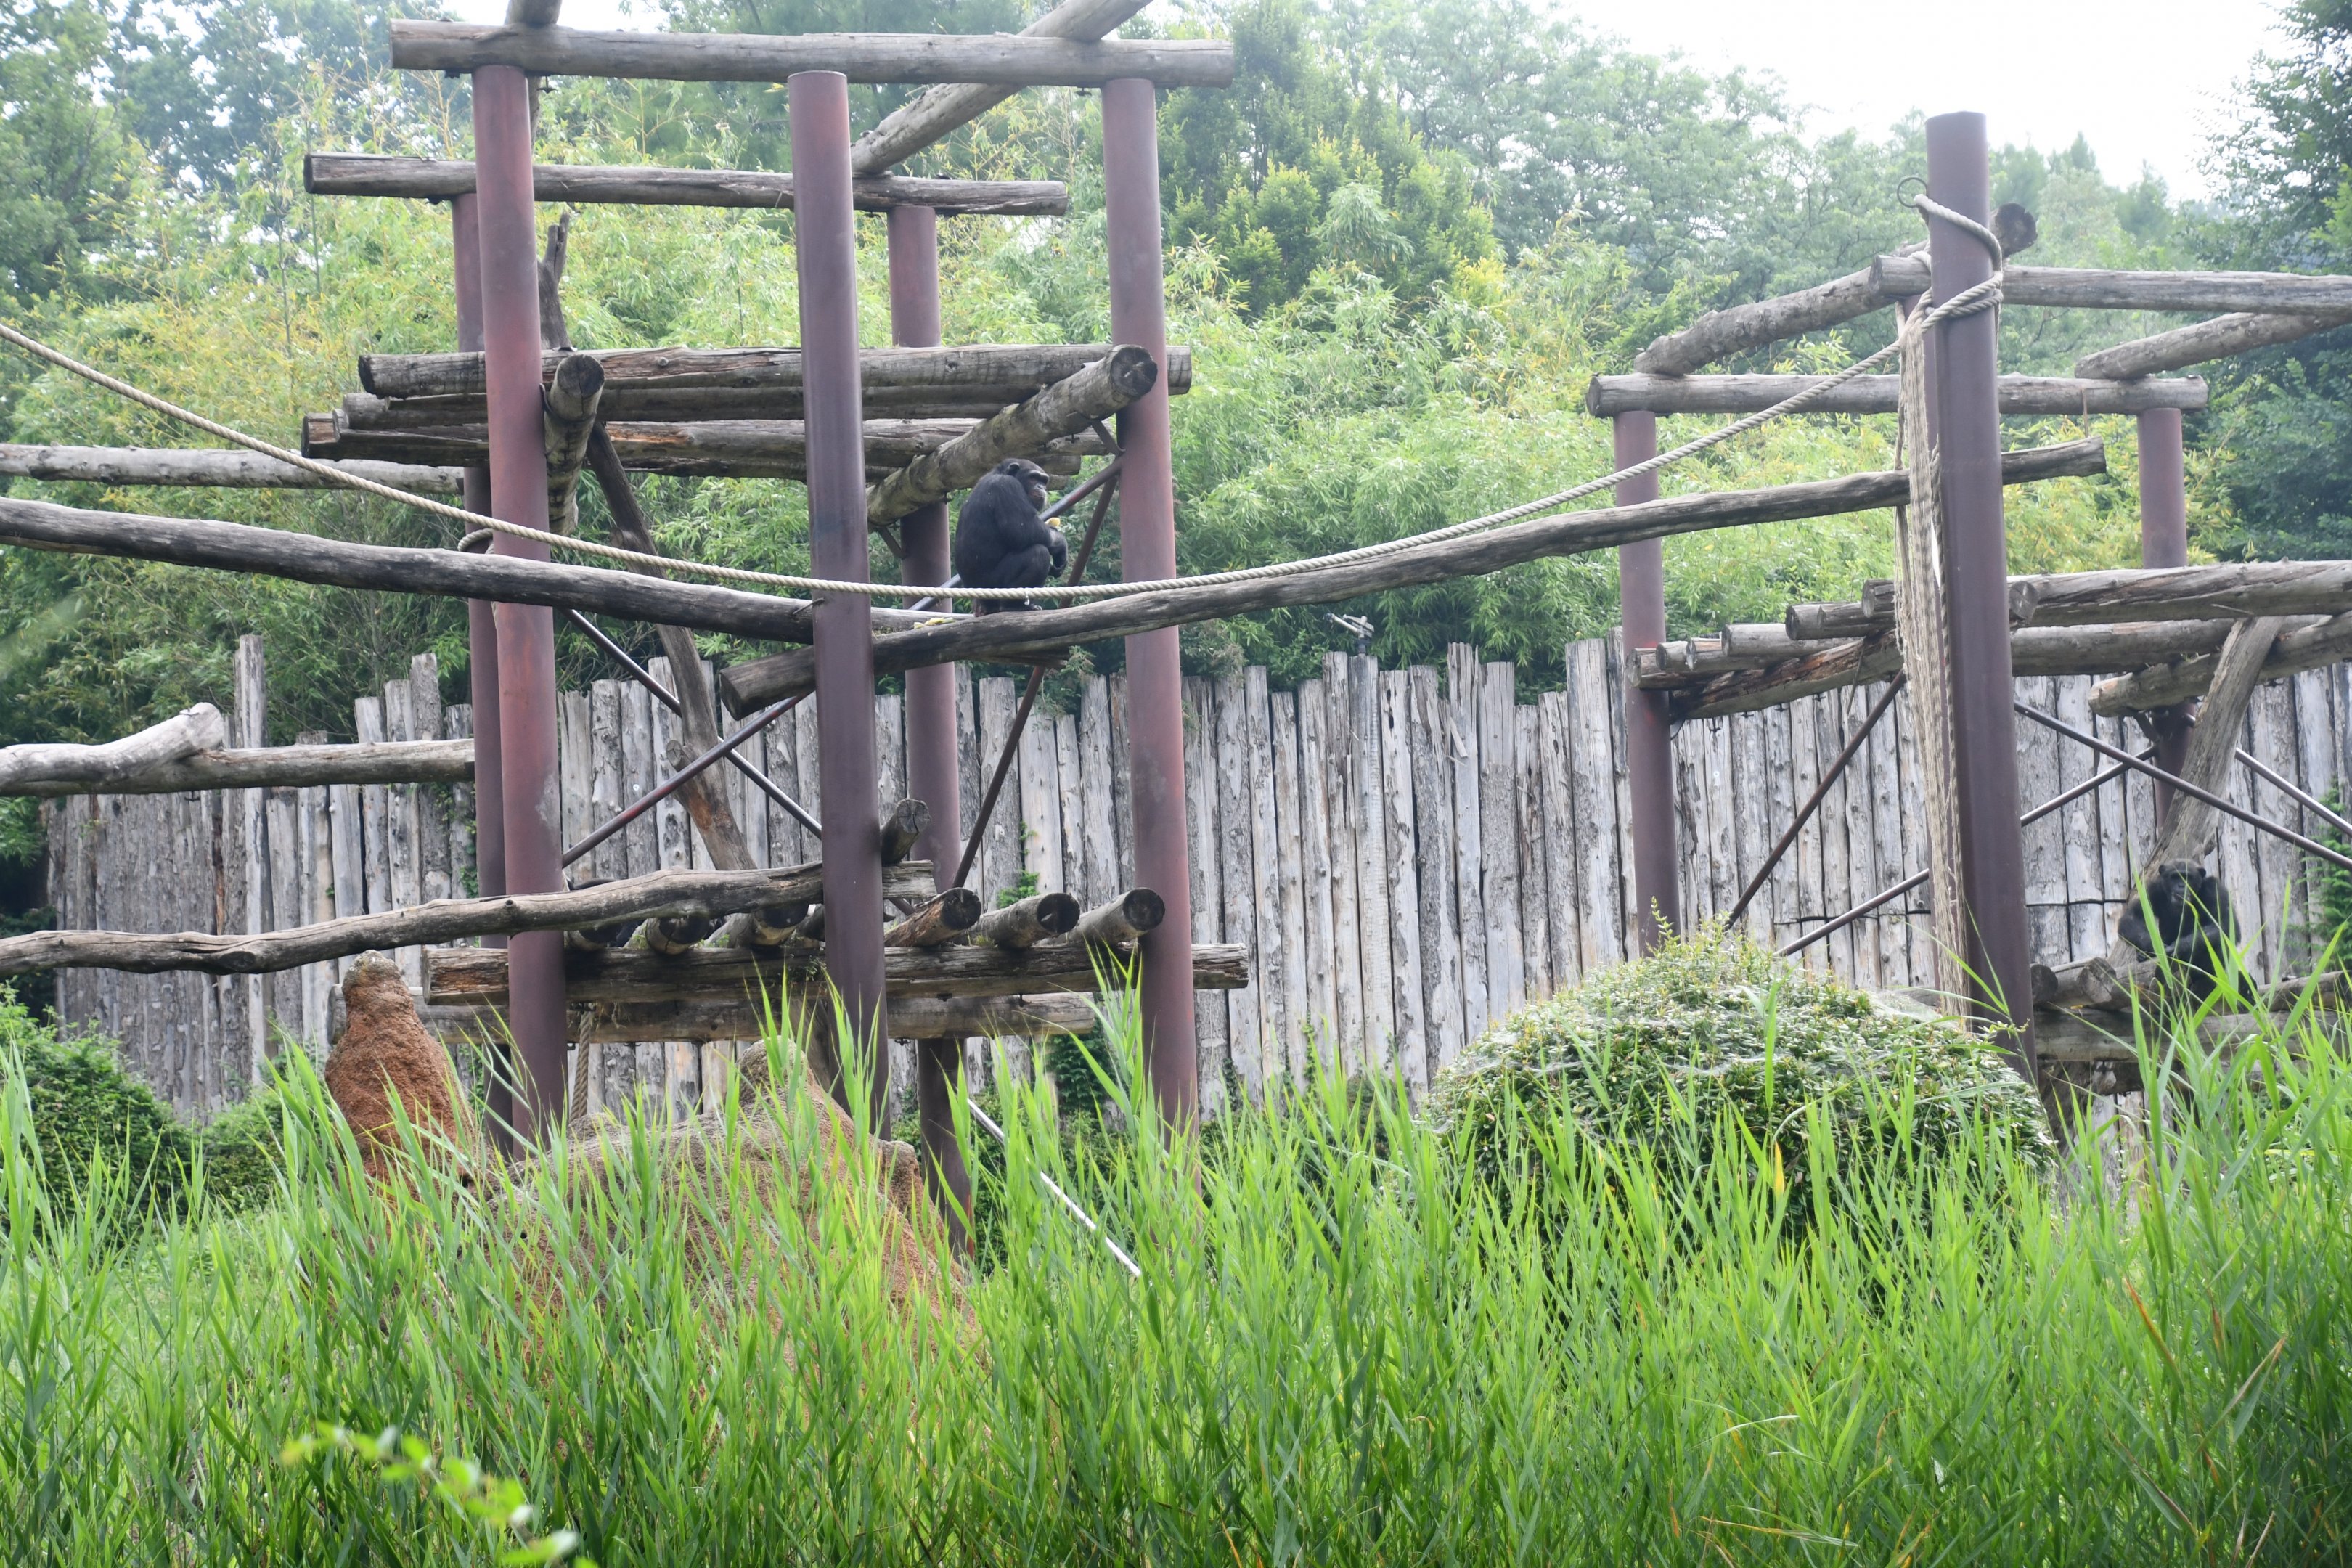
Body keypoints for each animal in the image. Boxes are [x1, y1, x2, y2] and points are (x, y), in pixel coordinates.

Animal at [953, 458, 1066, 614]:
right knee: (1038, 554)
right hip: (992, 586)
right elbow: (1025, 530)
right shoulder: (1007, 487)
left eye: (1044, 481)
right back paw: (1014, 606)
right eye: (1033, 478)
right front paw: (1061, 545)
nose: (1041, 487)